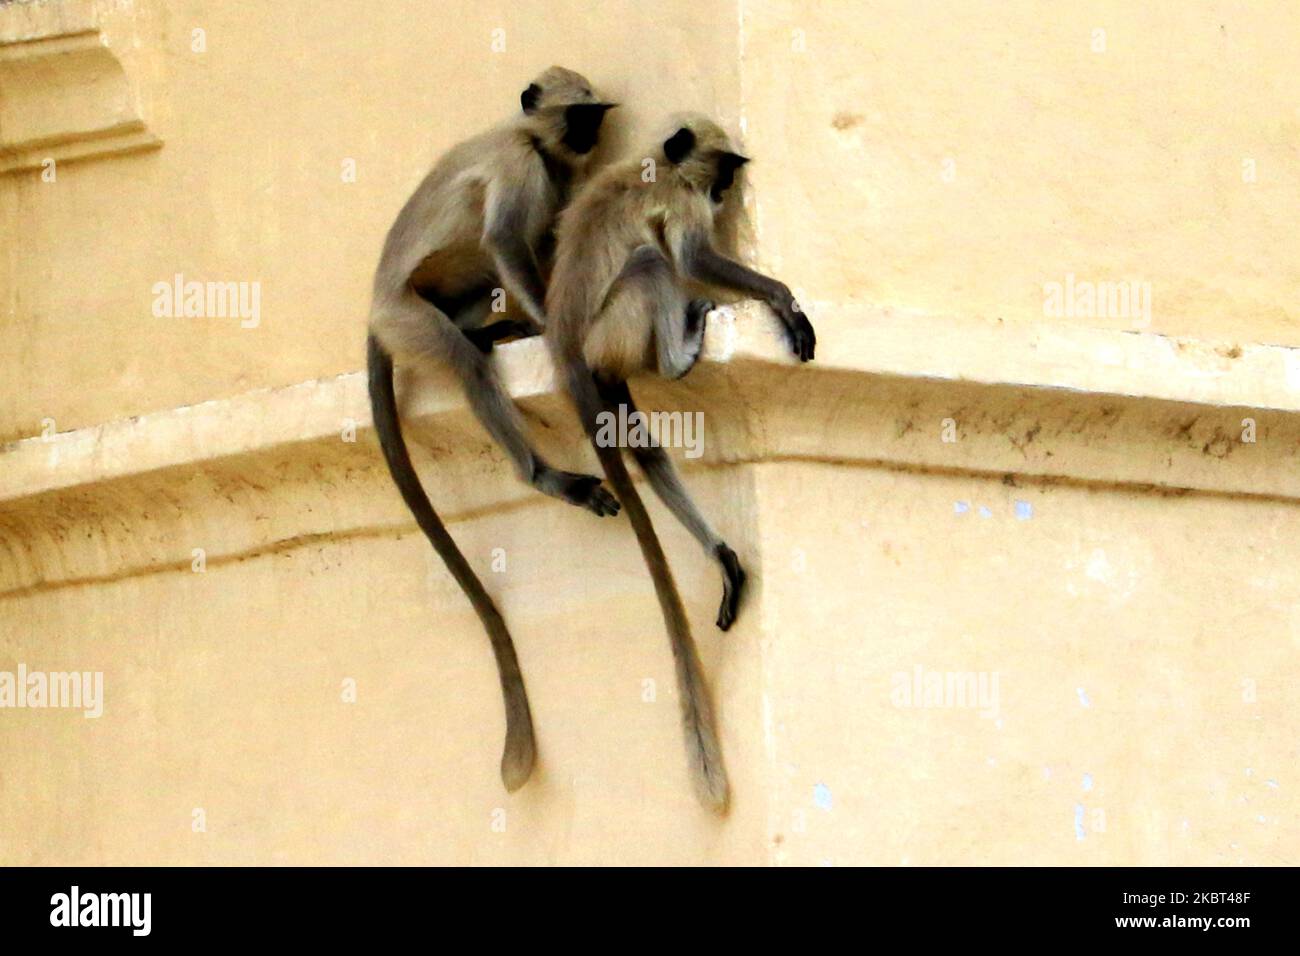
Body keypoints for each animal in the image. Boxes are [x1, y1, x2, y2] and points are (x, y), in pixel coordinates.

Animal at [369, 67, 616, 790]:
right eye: (580, 115)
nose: (592, 137)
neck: (534, 140)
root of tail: (374, 313)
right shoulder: (519, 163)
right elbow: (508, 239)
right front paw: (549, 327)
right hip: (409, 319)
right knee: (466, 359)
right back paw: (541, 473)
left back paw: (491, 331)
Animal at [546, 115, 811, 811]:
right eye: (723, 172)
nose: (725, 194)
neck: (656, 162)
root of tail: (564, 348)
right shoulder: (681, 200)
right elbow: (691, 258)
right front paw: (784, 302)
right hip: (612, 333)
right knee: (648, 262)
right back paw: (676, 355)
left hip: (608, 366)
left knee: (645, 448)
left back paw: (720, 556)